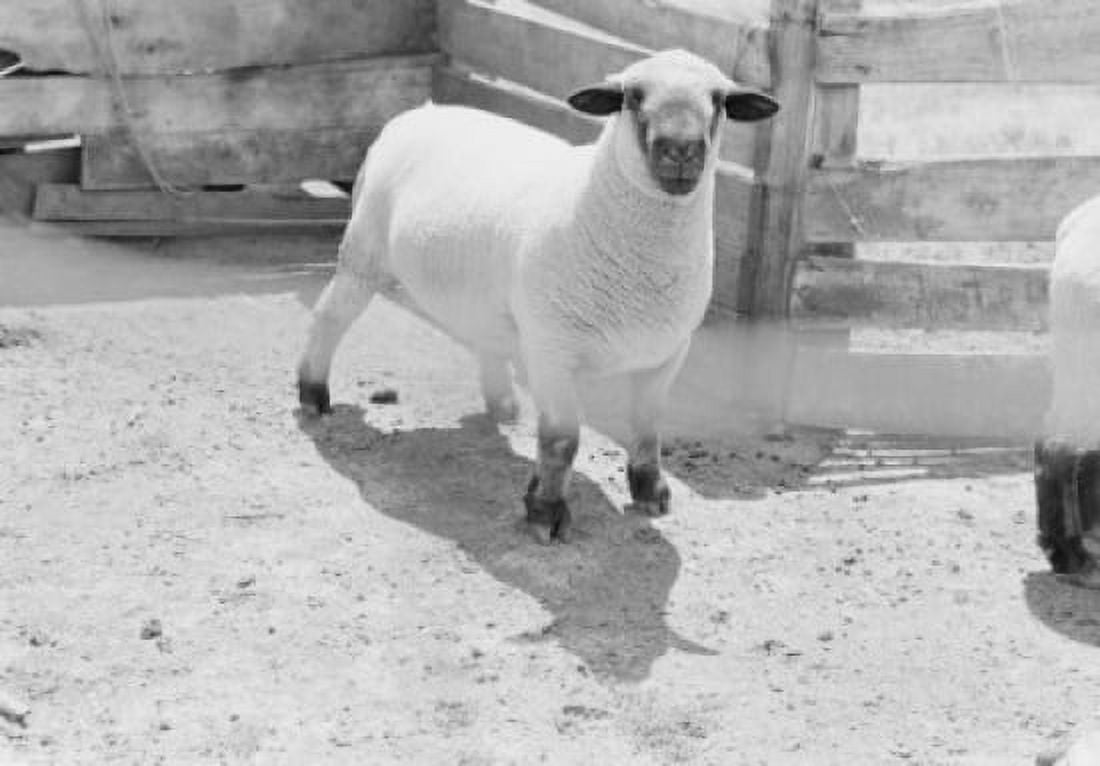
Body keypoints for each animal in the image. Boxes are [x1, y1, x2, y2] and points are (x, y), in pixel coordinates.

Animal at [297, 49, 779, 543]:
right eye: (632, 96)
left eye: (718, 100)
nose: (680, 149)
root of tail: (420, 112)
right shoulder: (552, 349)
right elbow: (562, 439)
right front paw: (546, 511)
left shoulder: (666, 352)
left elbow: (647, 429)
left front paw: (650, 491)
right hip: (364, 250)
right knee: (330, 316)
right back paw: (313, 394)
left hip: (480, 289)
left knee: (483, 337)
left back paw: (502, 405)